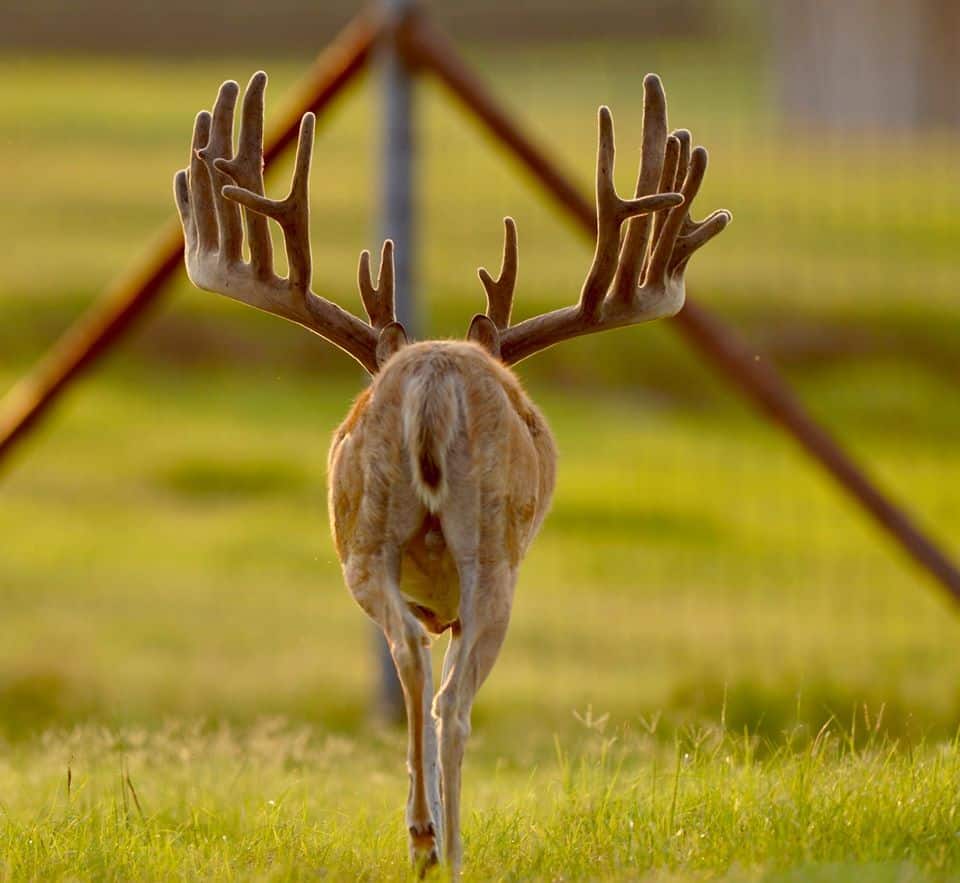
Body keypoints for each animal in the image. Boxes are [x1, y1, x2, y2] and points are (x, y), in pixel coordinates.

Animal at [173, 70, 730, 875]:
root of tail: (433, 376)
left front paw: (423, 828)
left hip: (366, 535)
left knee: (410, 657)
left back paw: (423, 837)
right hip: (492, 550)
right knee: (454, 702)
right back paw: (455, 848)